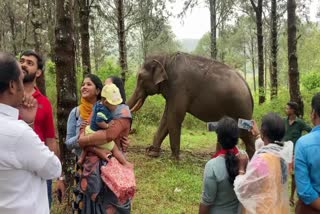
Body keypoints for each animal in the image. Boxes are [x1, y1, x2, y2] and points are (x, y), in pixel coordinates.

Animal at [127, 52, 255, 159]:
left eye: (140, 78)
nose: (132, 130)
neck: (166, 58)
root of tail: (248, 87)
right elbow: (166, 118)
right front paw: (153, 154)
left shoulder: (179, 88)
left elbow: (174, 117)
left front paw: (174, 159)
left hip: (240, 109)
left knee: (246, 134)